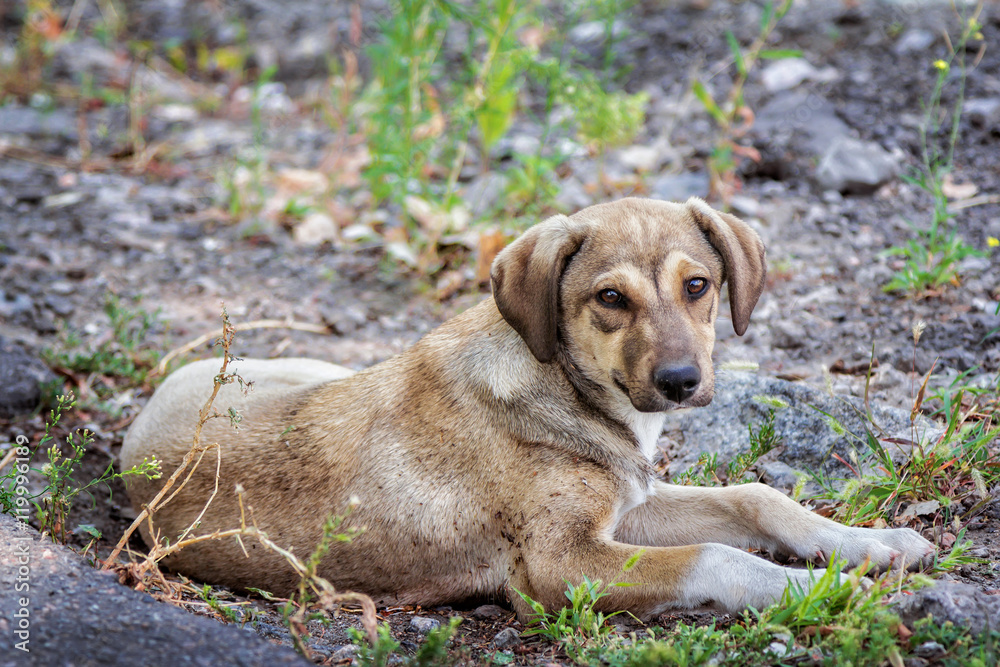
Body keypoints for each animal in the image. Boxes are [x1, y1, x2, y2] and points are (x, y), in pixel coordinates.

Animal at [121, 196, 932, 620]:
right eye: (611, 298)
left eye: (698, 285)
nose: (680, 381)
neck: (566, 388)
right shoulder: (561, 564)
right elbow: (720, 555)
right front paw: (822, 586)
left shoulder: (631, 505)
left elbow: (756, 496)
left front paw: (871, 543)